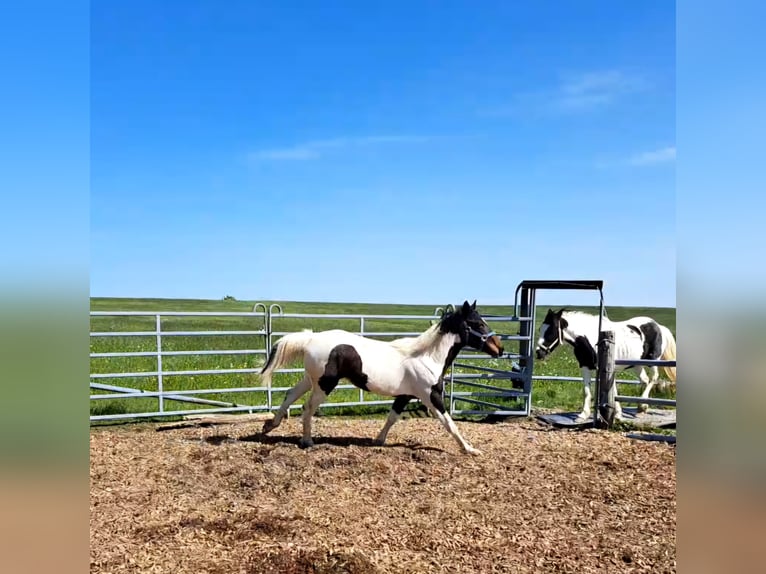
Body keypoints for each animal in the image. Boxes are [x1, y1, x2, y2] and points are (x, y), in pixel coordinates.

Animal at [260, 302, 508, 460]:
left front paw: (378, 441)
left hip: (311, 380)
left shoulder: (405, 395)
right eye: (478, 323)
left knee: (290, 394)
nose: (500, 348)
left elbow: (392, 417)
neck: (427, 357)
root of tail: (311, 338)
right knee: (307, 407)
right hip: (325, 385)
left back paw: (270, 425)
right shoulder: (431, 396)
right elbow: (449, 423)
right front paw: (470, 449)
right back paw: (307, 441)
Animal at [536, 310, 680, 424]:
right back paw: (641, 409)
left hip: (653, 360)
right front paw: (583, 415)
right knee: (645, 380)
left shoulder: (607, 370)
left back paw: (642, 406)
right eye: (540, 329)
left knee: (653, 378)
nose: (538, 353)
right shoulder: (585, 367)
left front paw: (615, 415)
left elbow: (612, 391)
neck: (592, 339)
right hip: (636, 364)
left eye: (550, 331)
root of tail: (659, 326)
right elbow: (588, 391)